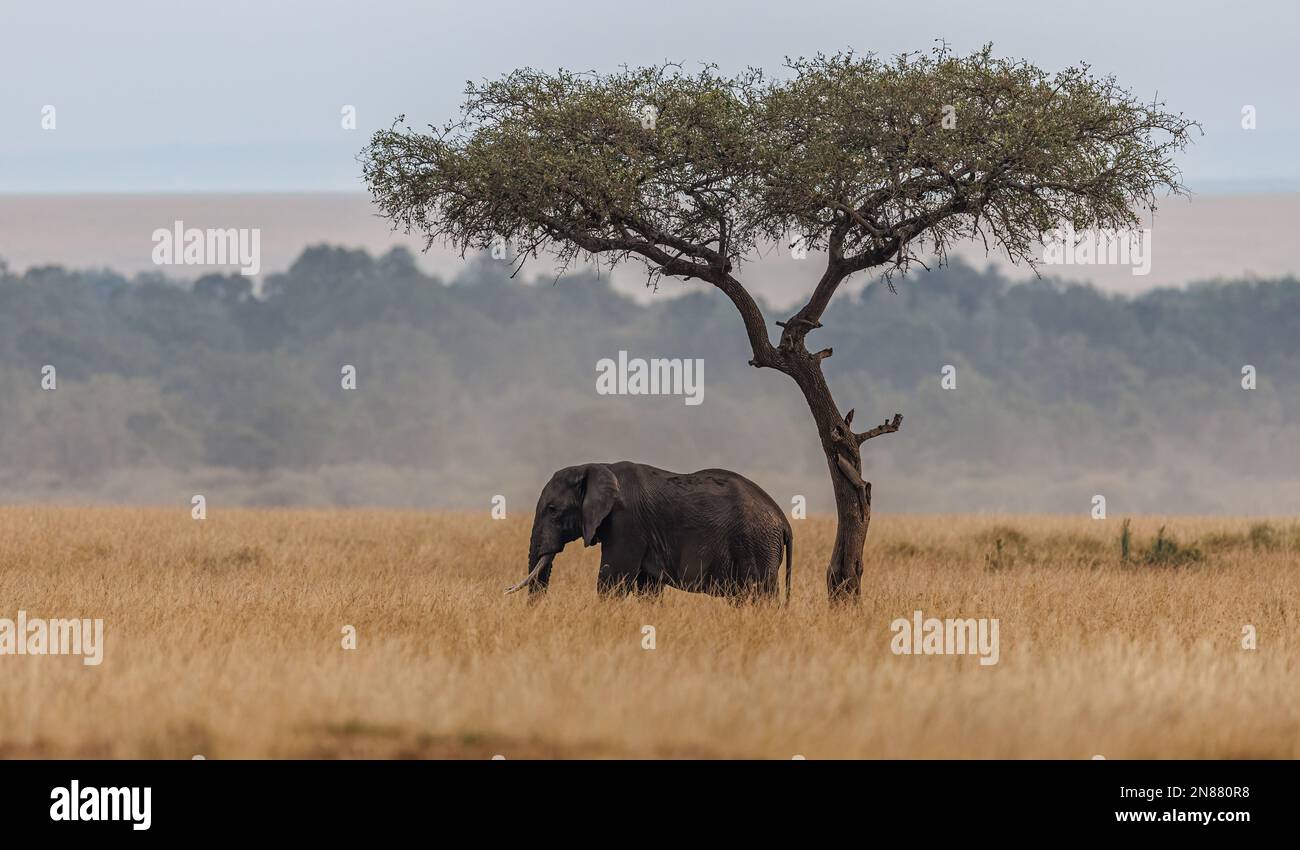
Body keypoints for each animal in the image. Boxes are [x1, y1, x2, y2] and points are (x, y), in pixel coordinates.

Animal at [505, 462, 792, 602]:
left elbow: (613, 580)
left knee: (759, 594)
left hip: (756, 545)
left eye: (553, 510)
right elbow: (648, 588)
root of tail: (783, 520)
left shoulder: (626, 522)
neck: (596, 465)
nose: (505, 590)